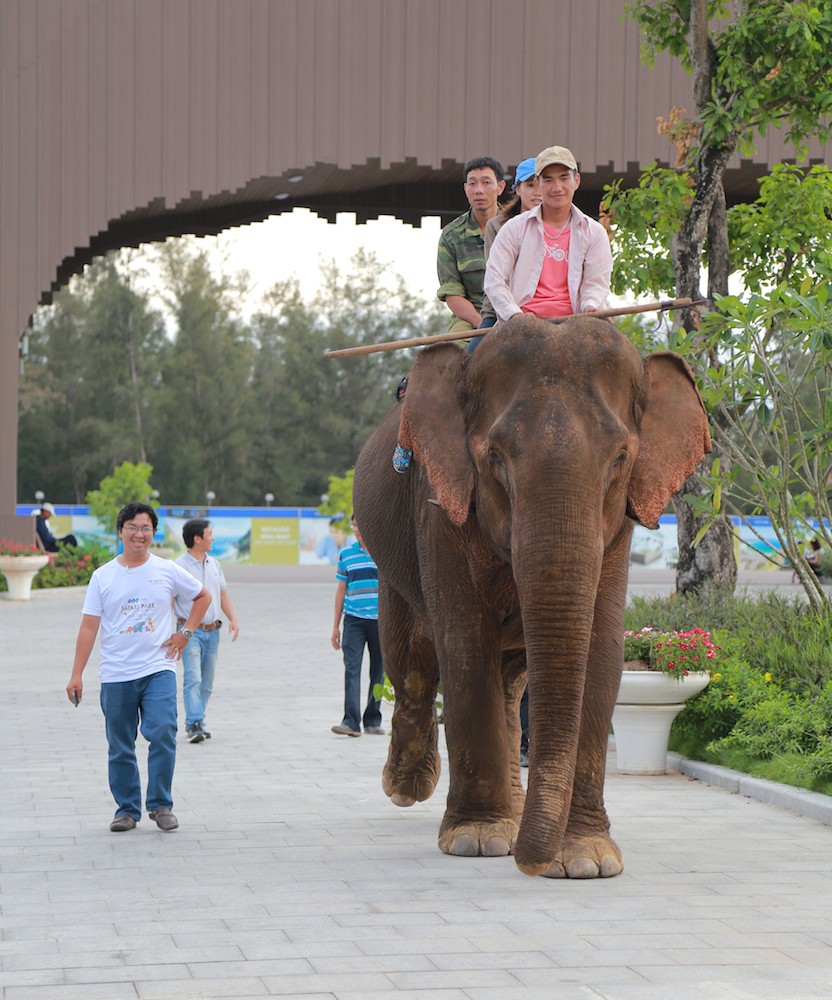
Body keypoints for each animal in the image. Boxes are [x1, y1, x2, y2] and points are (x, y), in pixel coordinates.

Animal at [352, 316, 708, 880]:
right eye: (494, 458)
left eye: (621, 458)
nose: (530, 866)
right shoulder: (440, 503)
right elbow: (463, 643)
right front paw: (476, 841)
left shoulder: (619, 529)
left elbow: (601, 650)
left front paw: (586, 860)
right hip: (389, 553)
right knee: (411, 658)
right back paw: (408, 787)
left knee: (507, 679)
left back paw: (513, 811)